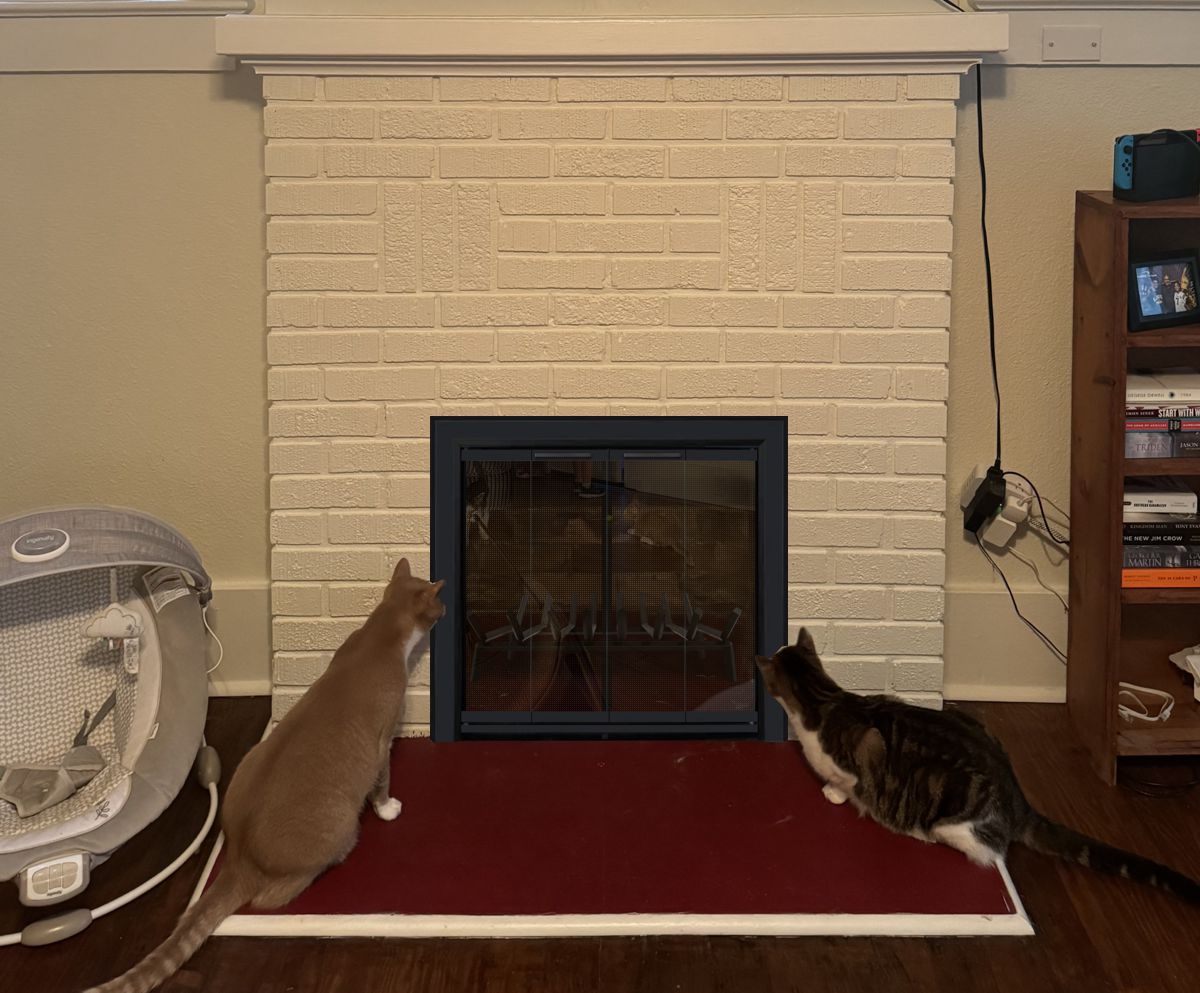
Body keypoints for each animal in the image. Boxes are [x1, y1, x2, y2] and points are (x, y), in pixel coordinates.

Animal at [85, 558, 446, 993]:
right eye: (440, 600)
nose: (445, 611)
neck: (379, 636)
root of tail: (240, 857)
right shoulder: (382, 742)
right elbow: (384, 780)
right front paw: (388, 808)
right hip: (339, 827)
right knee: (272, 897)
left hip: (250, 759)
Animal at [757, 628, 1200, 904]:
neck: (822, 698)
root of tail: (1018, 799)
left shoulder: (858, 756)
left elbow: (847, 780)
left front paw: (834, 793)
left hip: (954, 816)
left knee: (988, 851)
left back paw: (922, 833)